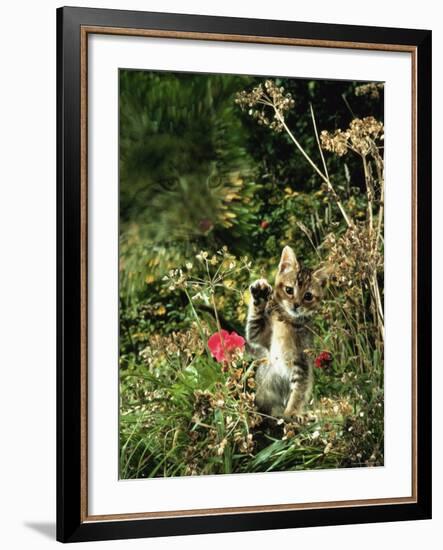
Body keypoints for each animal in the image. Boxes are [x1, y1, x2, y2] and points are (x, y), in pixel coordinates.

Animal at [248, 246, 332, 418]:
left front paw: (291, 414)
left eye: (308, 296)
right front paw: (259, 295)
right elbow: (254, 322)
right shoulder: (259, 338)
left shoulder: (301, 362)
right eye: (289, 290)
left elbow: (298, 392)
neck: (286, 322)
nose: (296, 304)